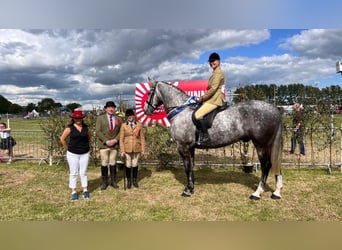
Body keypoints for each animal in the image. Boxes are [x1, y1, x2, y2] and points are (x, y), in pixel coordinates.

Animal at [144, 80, 284, 199]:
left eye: (150, 92)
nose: (146, 110)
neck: (180, 111)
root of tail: (274, 109)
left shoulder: (183, 147)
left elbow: (187, 168)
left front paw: (187, 190)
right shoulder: (191, 147)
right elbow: (191, 167)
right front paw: (192, 187)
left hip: (261, 144)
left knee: (266, 165)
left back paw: (257, 193)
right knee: (275, 164)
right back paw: (276, 192)